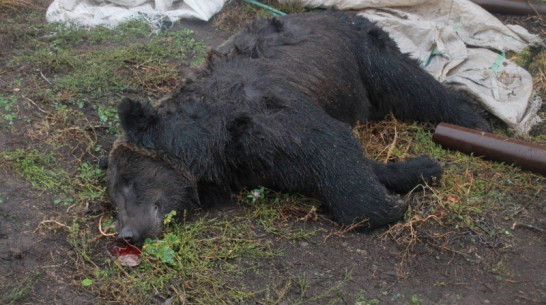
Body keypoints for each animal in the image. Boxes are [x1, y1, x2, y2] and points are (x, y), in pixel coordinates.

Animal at [103, 10, 488, 245]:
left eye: (128, 182)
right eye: (112, 198)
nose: (126, 233)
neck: (213, 148)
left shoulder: (263, 114)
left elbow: (330, 145)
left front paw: (388, 207)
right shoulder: (256, 161)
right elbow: (340, 162)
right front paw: (420, 169)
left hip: (362, 53)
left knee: (411, 84)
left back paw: (474, 121)